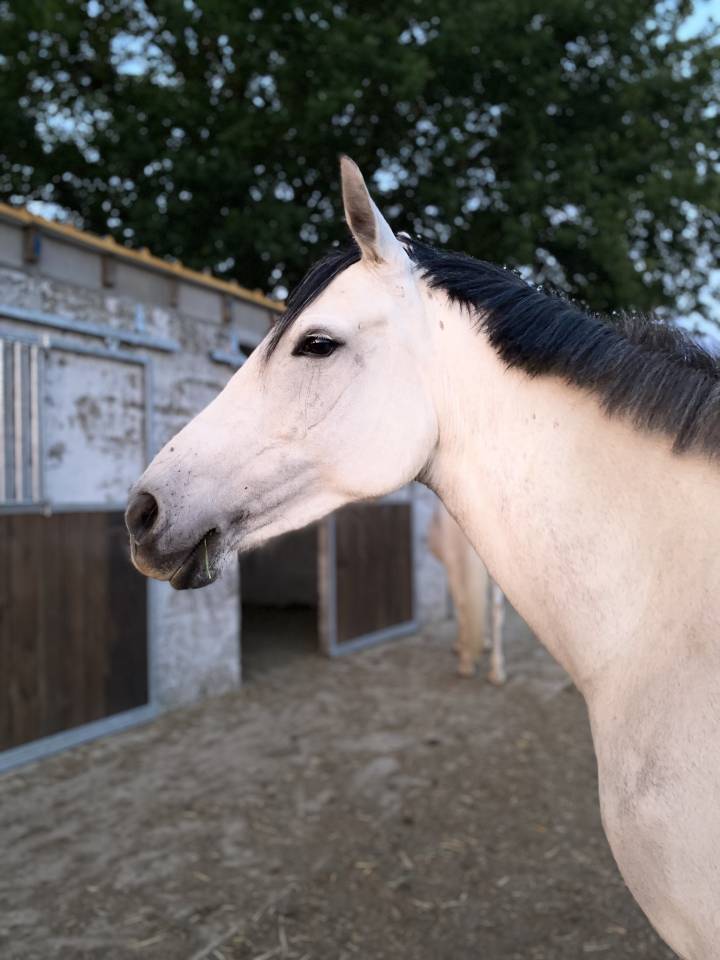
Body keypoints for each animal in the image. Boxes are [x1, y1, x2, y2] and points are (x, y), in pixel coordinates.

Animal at [428, 500, 506, 683]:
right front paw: (483, 641)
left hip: (453, 563)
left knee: (462, 606)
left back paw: (465, 663)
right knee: (496, 612)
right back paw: (497, 672)